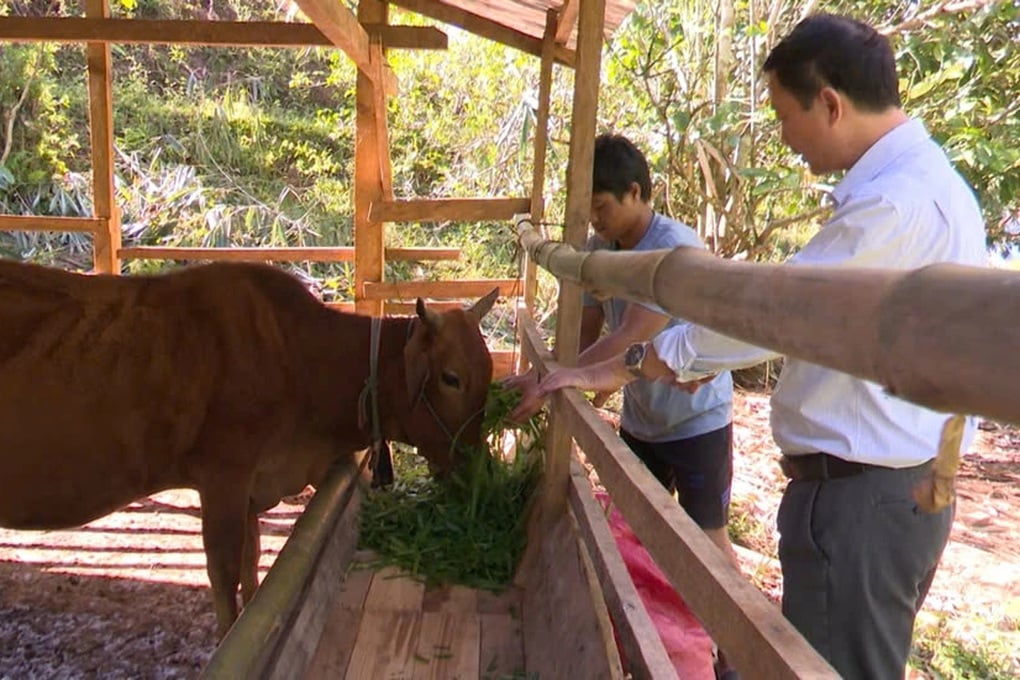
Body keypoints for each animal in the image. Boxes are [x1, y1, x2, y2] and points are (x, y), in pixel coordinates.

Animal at [0, 260, 493, 640]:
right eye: (451, 378)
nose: (477, 471)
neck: (298, 357)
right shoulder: (224, 477)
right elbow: (224, 571)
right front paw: (227, 636)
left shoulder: (256, 485)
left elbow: (252, 563)